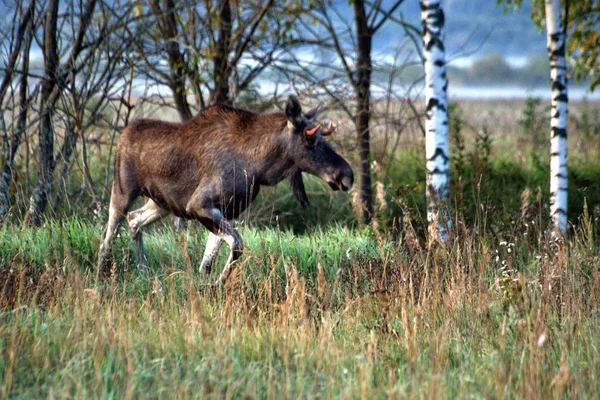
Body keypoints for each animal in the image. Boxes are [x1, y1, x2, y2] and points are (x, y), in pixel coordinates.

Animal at [96, 96, 354, 284]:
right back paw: (101, 278)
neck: (259, 167)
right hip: (123, 191)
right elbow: (237, 245)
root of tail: (123, 134)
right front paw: (218, 283)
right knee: (109, 234)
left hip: (161, 203)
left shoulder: (227, 211)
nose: (347, 175)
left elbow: (207, 262)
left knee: (134, 220)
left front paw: (207, 287)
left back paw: (142, 271)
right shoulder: (199, 204)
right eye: (310, 139)